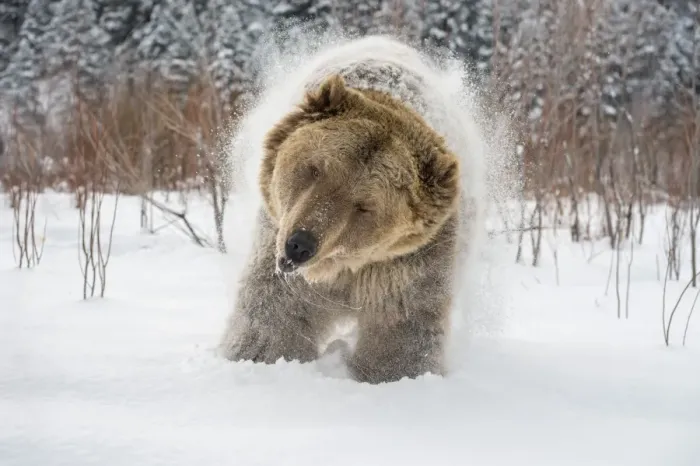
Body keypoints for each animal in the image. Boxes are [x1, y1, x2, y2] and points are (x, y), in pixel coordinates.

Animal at [220, 58, 467, 384]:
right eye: (315, 170)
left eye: (364, 206)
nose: (300, 244)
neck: (339, 268)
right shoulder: (278, 243)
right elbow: (275, 312)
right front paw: (258, 355)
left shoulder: (405, 264)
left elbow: (401, 326)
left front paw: (392, 373)